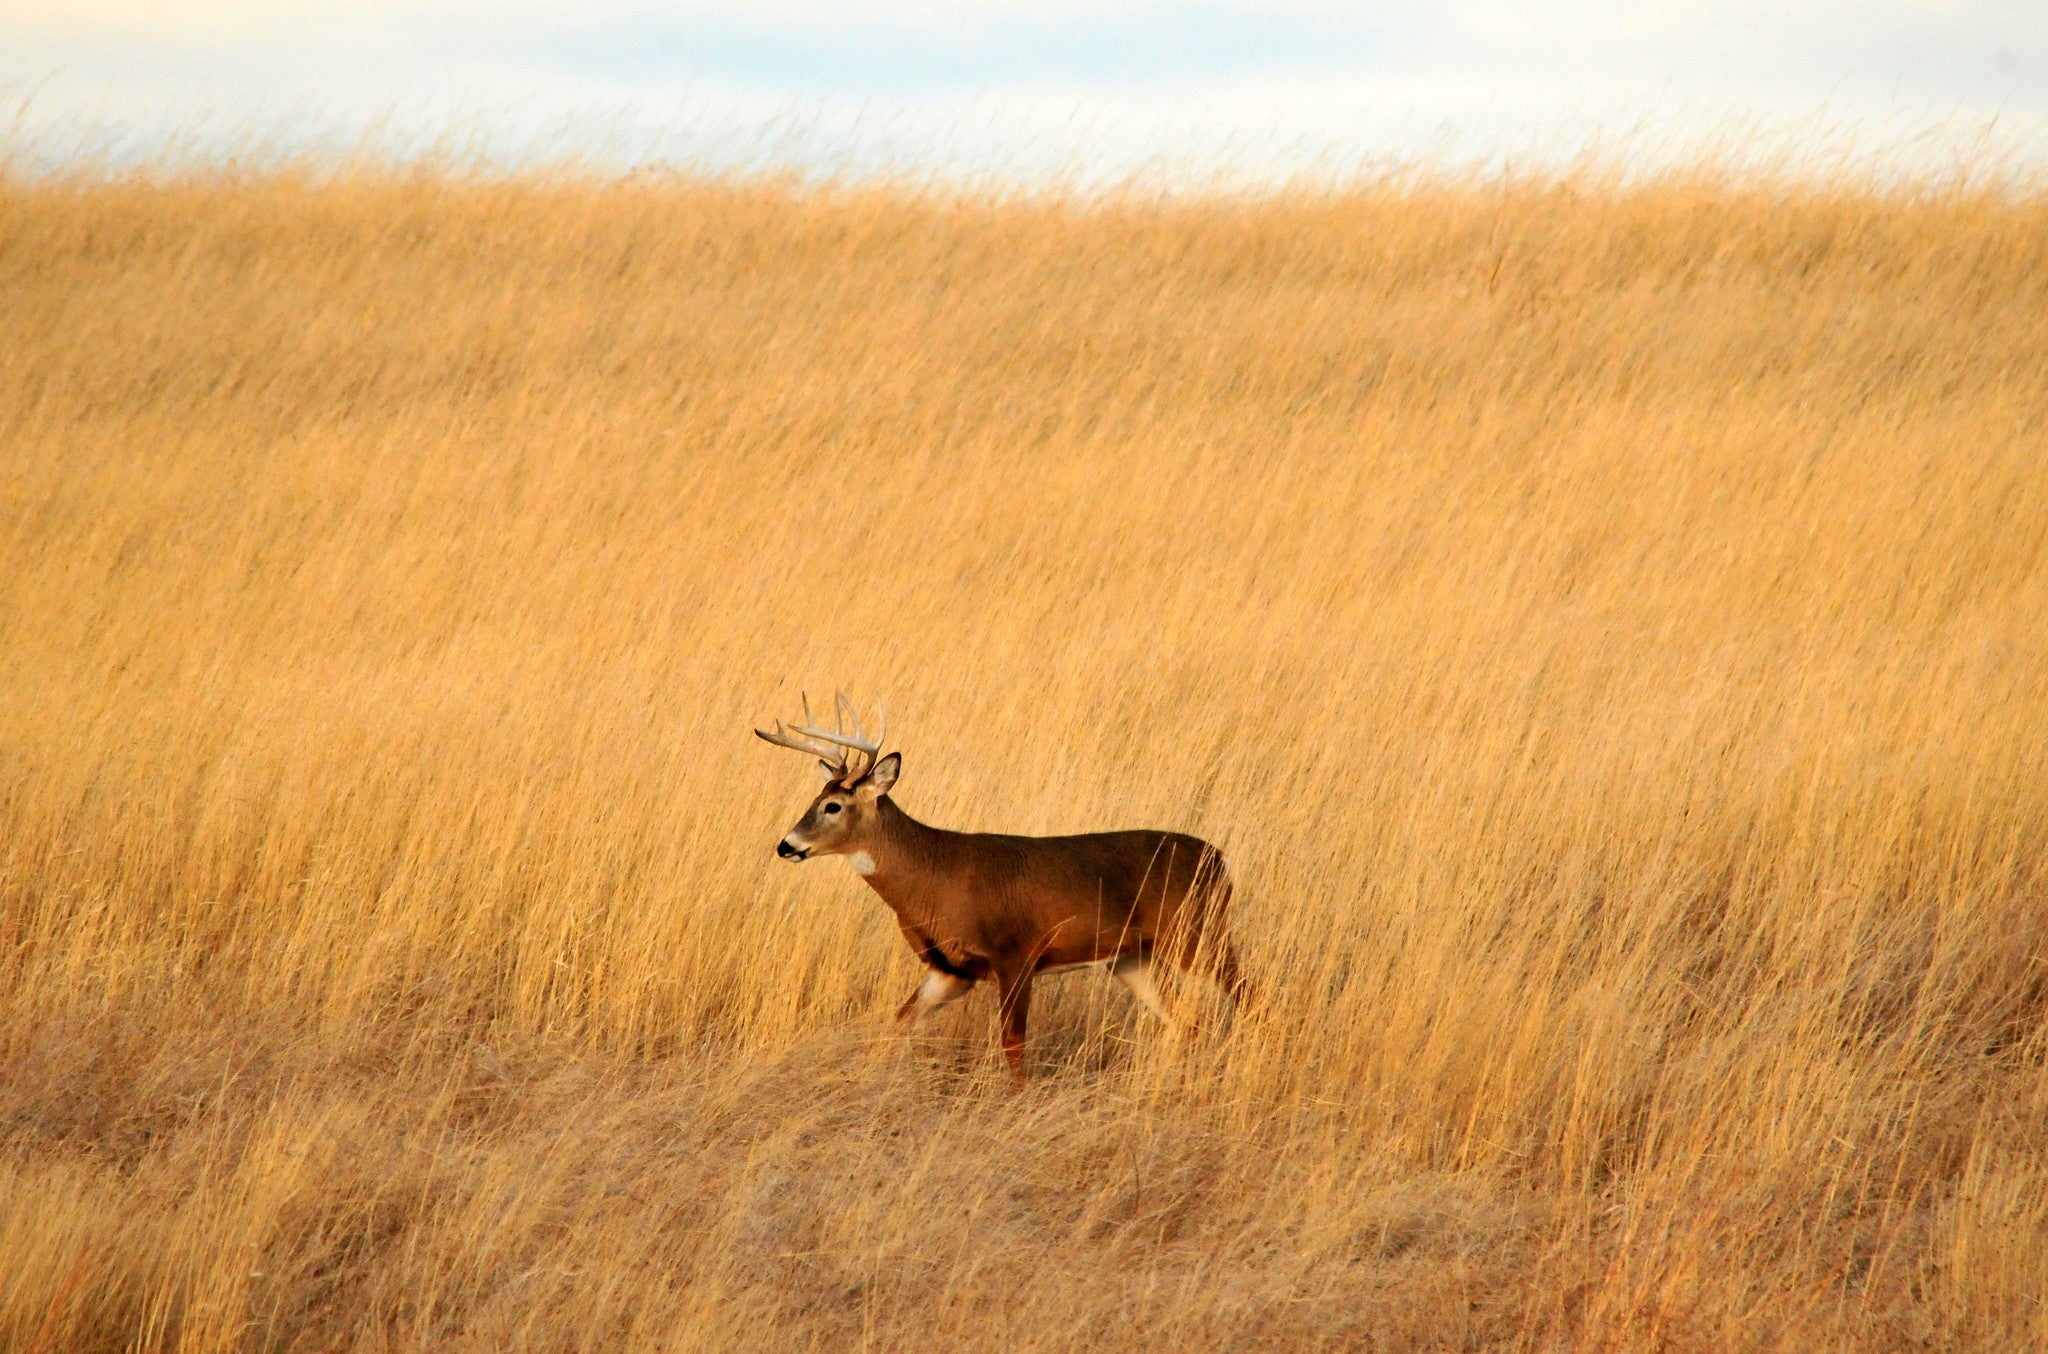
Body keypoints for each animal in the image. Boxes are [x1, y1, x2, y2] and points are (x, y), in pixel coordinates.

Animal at [757, 692, 1245, 1081]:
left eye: (833, 806)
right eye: (814, 799)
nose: (786, 845)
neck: (934, 876)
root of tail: (1219, 859)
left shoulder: (1015, 954)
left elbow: (1013, 1045)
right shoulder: (950, 969)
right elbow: (900, 1023)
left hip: (1199, 935)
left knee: (1244, 993)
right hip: (1132, 958)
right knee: (1186, 1020)